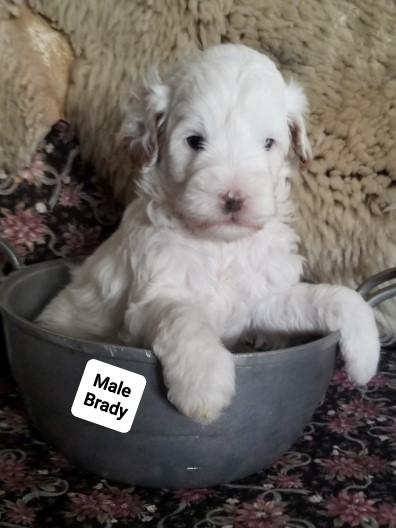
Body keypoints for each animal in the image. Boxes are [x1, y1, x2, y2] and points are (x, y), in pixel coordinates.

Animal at [38, 45, 380, 424]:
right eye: (194, 141)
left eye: (268, 143)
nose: (233, 198)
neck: (222, 247)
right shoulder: (151, 297)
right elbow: (183, 318)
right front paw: (204, 385)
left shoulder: (264, 297)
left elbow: (329, 297)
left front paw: (365, 351)